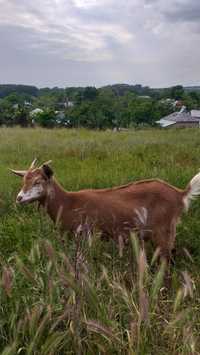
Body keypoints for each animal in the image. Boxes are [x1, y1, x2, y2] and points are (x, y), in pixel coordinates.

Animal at [11, 160, 200, 262]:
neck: (69, 202)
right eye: (23, 181)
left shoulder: (88, 233)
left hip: (163, 230)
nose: (19, 198)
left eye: (37, 182)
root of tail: (179, 194)